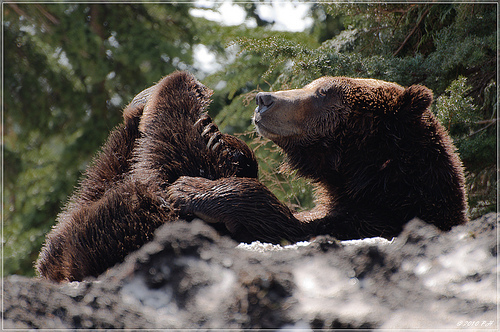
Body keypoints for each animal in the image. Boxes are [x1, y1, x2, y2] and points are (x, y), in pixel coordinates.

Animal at [169, 77, 468, 244]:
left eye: (323, 92)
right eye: (313, 84)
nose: (263, 99)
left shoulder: (380, 221)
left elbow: (289, 227)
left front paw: (189, 189)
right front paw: (220, 141)